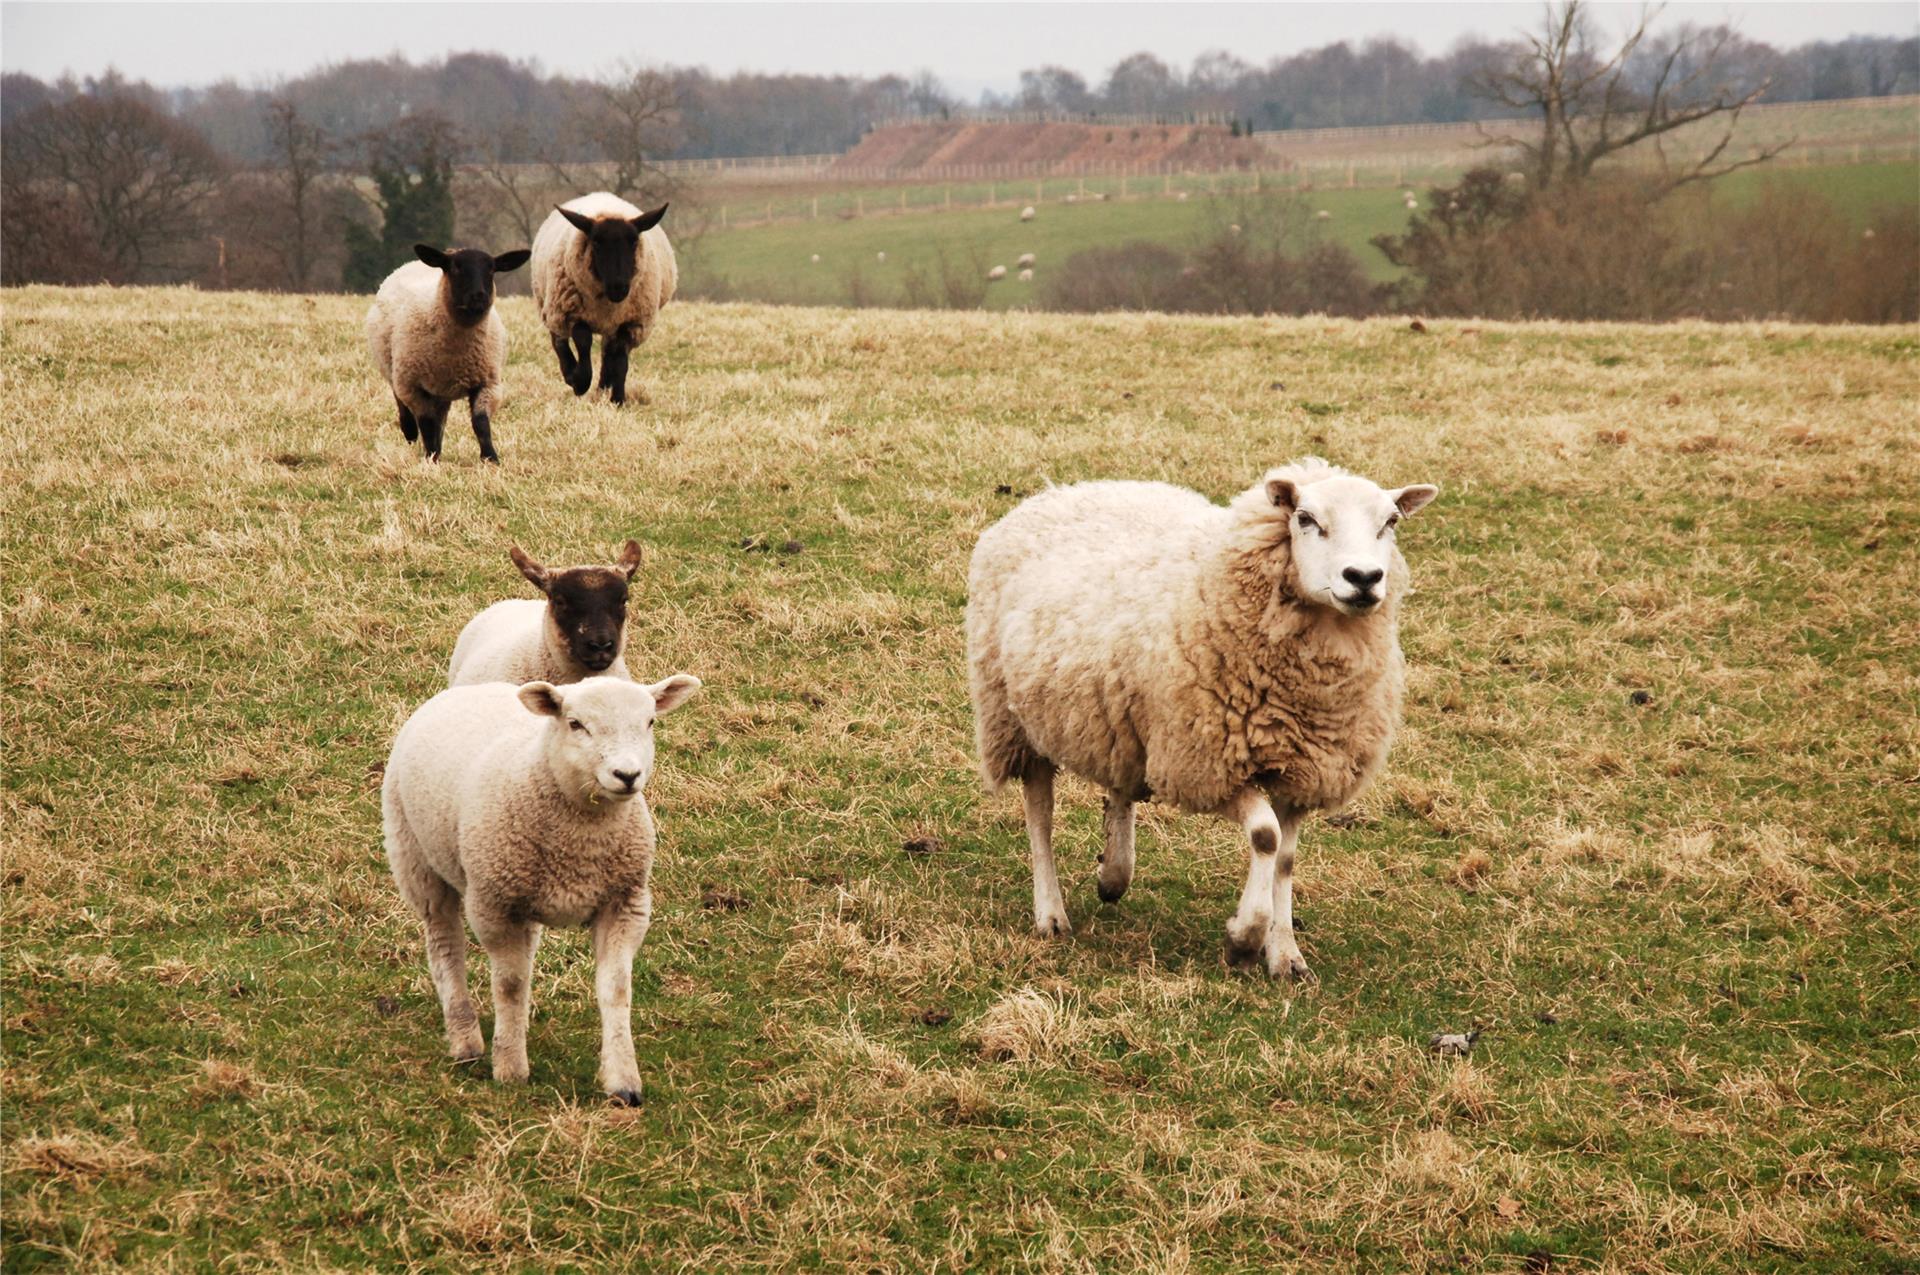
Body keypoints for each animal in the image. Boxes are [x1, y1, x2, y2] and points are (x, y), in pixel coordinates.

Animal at [359, 243, 526, 462]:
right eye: (455, 267)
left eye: (492, 269)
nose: (479, 296)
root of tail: (412, 263)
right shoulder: (414, 387)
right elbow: (427, 424)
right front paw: (431, 458)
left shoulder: (488, 383)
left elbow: (480, 423)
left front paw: (491, 458)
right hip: (395, 371)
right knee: (403, 406)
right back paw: (411, 433)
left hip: (440, 391)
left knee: (440, 420)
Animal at [378, 672, 702, 1098]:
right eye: (576, 724)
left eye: (650, 722)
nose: (627, 775)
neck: (583, 836)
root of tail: (472, 687)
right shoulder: (493, 905)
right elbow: (509, 985)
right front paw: (510, 1068)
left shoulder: (626, 903)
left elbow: (616, 988)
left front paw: (622, 1081)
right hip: (416, 858)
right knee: (445, 943)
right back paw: (466, 1039)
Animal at [526, 192, 675, 408]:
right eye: (596, 242)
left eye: (633, 242)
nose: (618, 286)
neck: (608, 303)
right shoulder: (574, 314)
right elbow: (583, 342)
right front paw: (579, 381)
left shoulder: (630, 323)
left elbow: (620, 359)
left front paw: (618, 399)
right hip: (552, 306)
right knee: (559, 341)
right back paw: (571, 374)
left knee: (607, 352)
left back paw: (603, 387)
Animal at [967, 460, 1436, 983]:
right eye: (1306, 519)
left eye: (1390, 522)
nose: (1364, 577)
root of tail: (1064, 490)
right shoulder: (1207, 765)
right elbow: (1265, 836)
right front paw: (1245, 939)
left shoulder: (1302, 770)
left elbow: (1285, 859)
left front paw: (1285, 952)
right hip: (1014, 717)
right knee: (1040, 813)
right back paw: (1051, 911)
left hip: (1123, 718)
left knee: (1120, 785)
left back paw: (1114, 872)